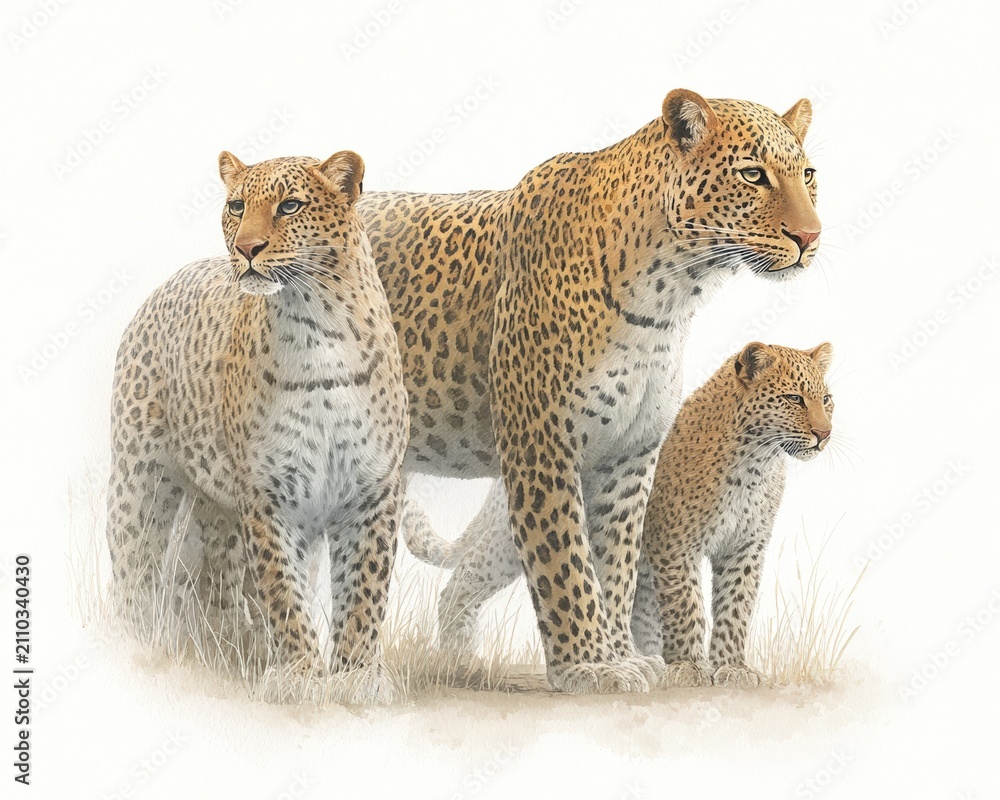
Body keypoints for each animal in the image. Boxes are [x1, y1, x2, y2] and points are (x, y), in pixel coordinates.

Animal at [106, 150, 408, 699]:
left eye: (290, 206)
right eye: (236, 206)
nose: (246, 249)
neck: (316, 327)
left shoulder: (371, 489)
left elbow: (364, 589)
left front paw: (355, 677)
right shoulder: (268, 493)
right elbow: (283, 592)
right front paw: (301, 677)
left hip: (219, 505)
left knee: (220, 578)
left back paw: (231, 643)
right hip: (140, 479)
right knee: (134, 563)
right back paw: (136, 648)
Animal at [629, 341, 835, 689]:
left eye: (826, 399)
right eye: (794, 398)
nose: (824, 433)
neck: (755, 464)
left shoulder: (744, 548)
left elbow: (736, 606)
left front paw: (732, 667)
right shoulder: (673, 544)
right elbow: (687, 606)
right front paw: (689, 665)